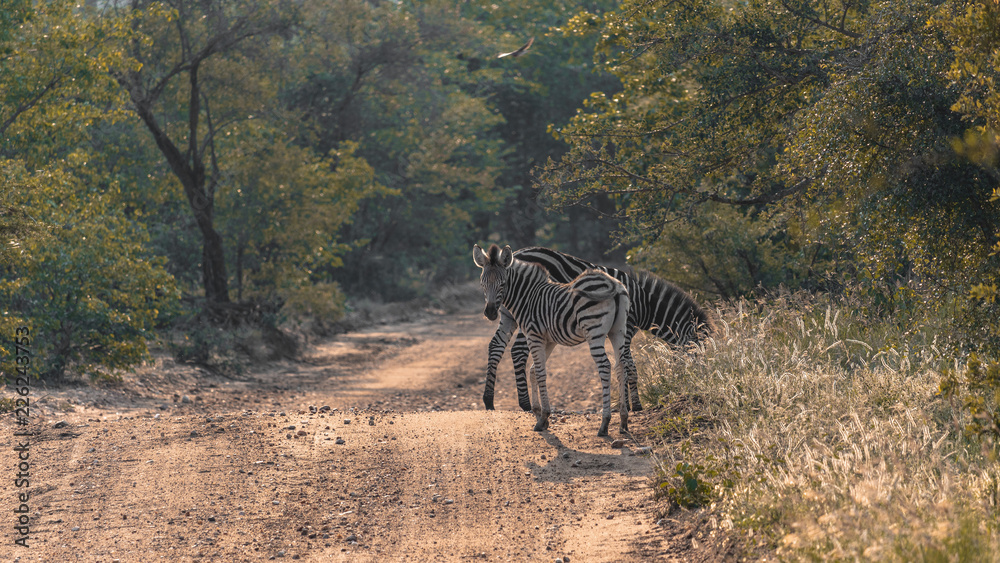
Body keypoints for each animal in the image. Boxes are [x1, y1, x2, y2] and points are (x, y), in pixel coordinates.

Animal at [473, 243, 631, 436]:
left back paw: (604, 423)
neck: (528, 296)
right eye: (482, 284)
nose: (490, 313)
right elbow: (533, 371)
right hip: (618, 331)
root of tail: (612, 283)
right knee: (620, 366)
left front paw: (543, 417)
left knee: (605, 367)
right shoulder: (549, 340)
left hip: (594, 332)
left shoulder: (534, 335)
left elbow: (540, 372)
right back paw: (623, 420)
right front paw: (539, 413)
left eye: (503, 284)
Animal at [481, 246, 713, 413]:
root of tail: (517, 255)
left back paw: (489, 400)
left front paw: (629, 404)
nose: (699, 383)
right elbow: (629, 366)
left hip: (508, 314)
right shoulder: (627, 328)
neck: (644, 304)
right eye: (697, 354)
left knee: (496, 346)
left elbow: (625, 364)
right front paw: (635, 405)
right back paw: (525, 404)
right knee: (518, 351)